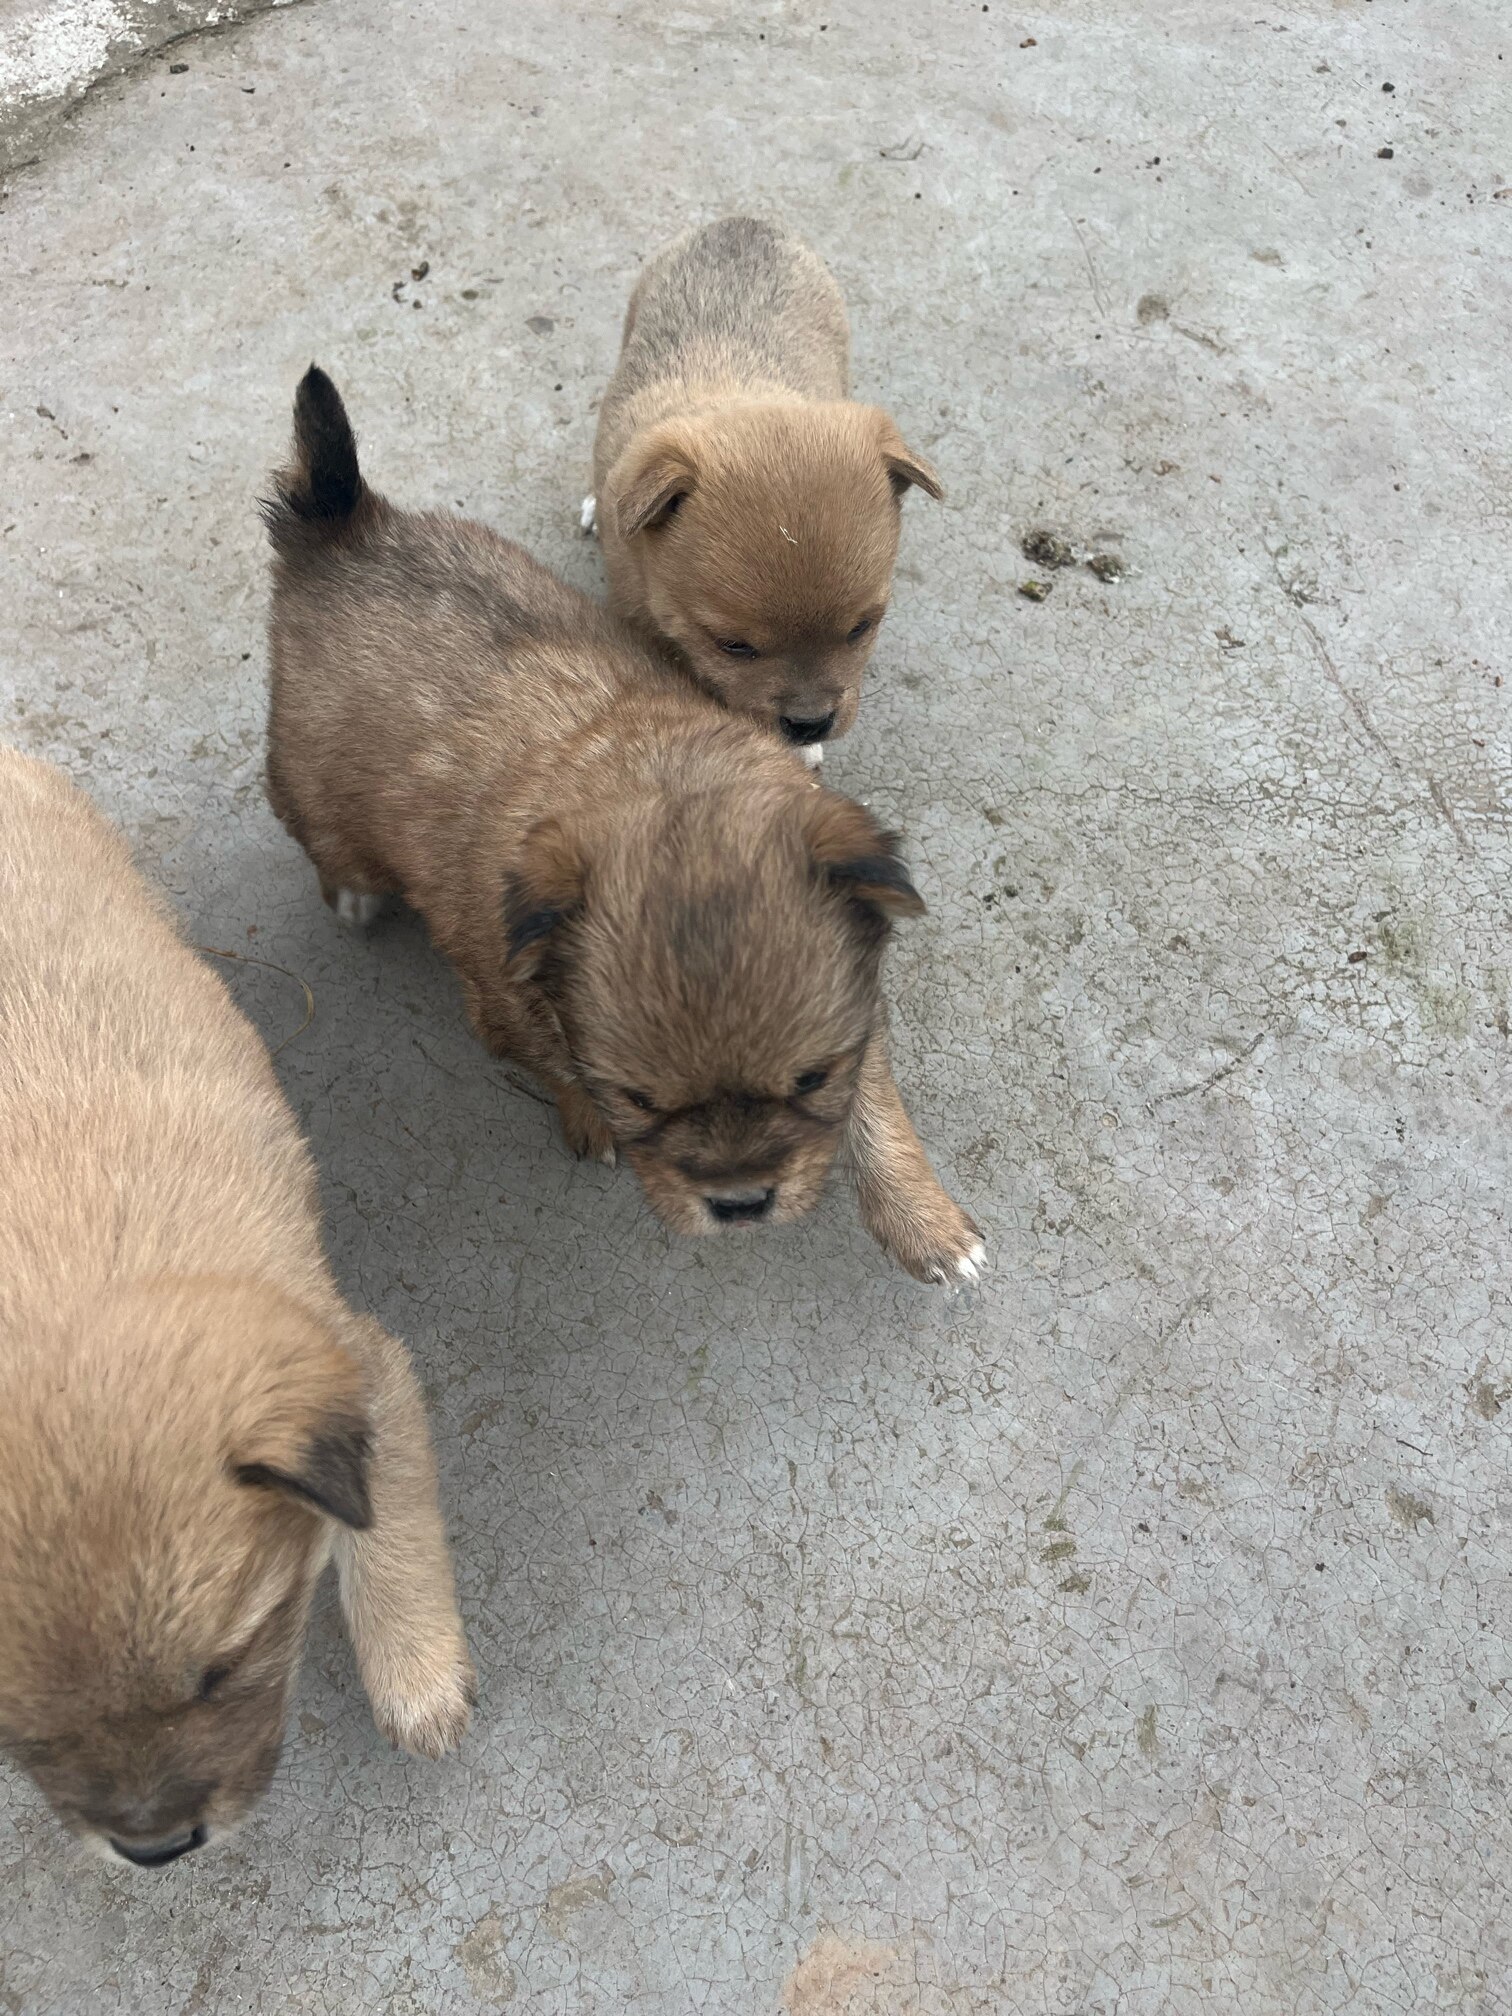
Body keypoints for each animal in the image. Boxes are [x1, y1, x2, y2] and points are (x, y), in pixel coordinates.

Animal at [0, 748, 473, 1864]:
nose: (155, 1849)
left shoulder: (360, 1371)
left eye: (221, 1672)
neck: (75, 1297)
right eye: (11, 1725)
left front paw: (417, 1676)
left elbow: (389, 1533)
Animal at [265, 367, 981, 1285]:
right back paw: (354, 893)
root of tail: (342, 524)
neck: (655, 770)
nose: (742, 1203)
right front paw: (588, 1119)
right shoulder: (504, 1007)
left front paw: (926, 1223)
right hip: (306, 783)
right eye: (639, 1099)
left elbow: (879, 1112)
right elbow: (558, 1068)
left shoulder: (860, 1016)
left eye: (811, 1081)